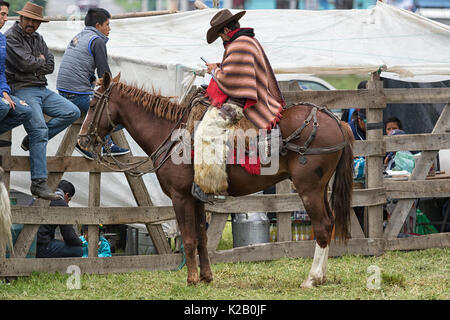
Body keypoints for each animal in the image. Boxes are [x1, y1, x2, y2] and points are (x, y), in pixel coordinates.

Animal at [78, 72, 356, 288]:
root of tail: (335, 120)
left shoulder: (180, 197)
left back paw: (312, 278)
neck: (174, 135)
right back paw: (322, 276)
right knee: (330, 222)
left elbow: (189, 238)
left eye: (92, 105)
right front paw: (206, 277)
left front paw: (191, 279)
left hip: (309, 189)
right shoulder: (197, 197)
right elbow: (202, 238)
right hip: (321, 188)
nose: (81, 141)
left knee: (322, 226)